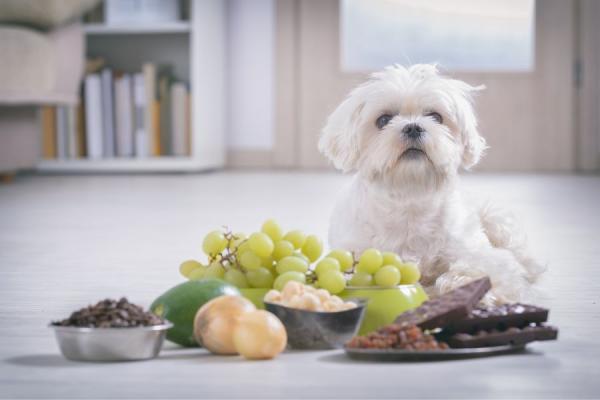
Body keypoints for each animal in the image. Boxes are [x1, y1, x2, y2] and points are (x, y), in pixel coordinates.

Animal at [318, 64, 544, 304]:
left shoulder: (480, 253)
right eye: (383, 120)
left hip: (497, 221)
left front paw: (463, 285)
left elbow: (484, 269)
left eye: (436, 116)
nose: (413, 127)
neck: (410, 197)